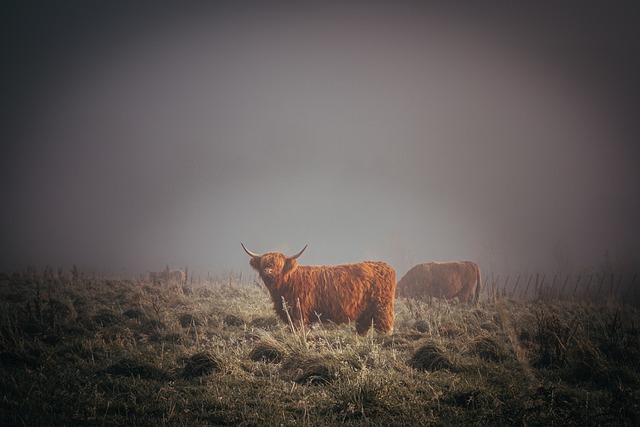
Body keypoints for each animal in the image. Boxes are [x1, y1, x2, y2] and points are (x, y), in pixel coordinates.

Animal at [242, 242, 398, 336]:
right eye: (264, 263)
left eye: (278, 265)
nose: (268, 271)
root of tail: (384, 266)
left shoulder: (298, 313)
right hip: (365, 312)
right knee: (363, 327)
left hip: (382, 308)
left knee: (384, 326)